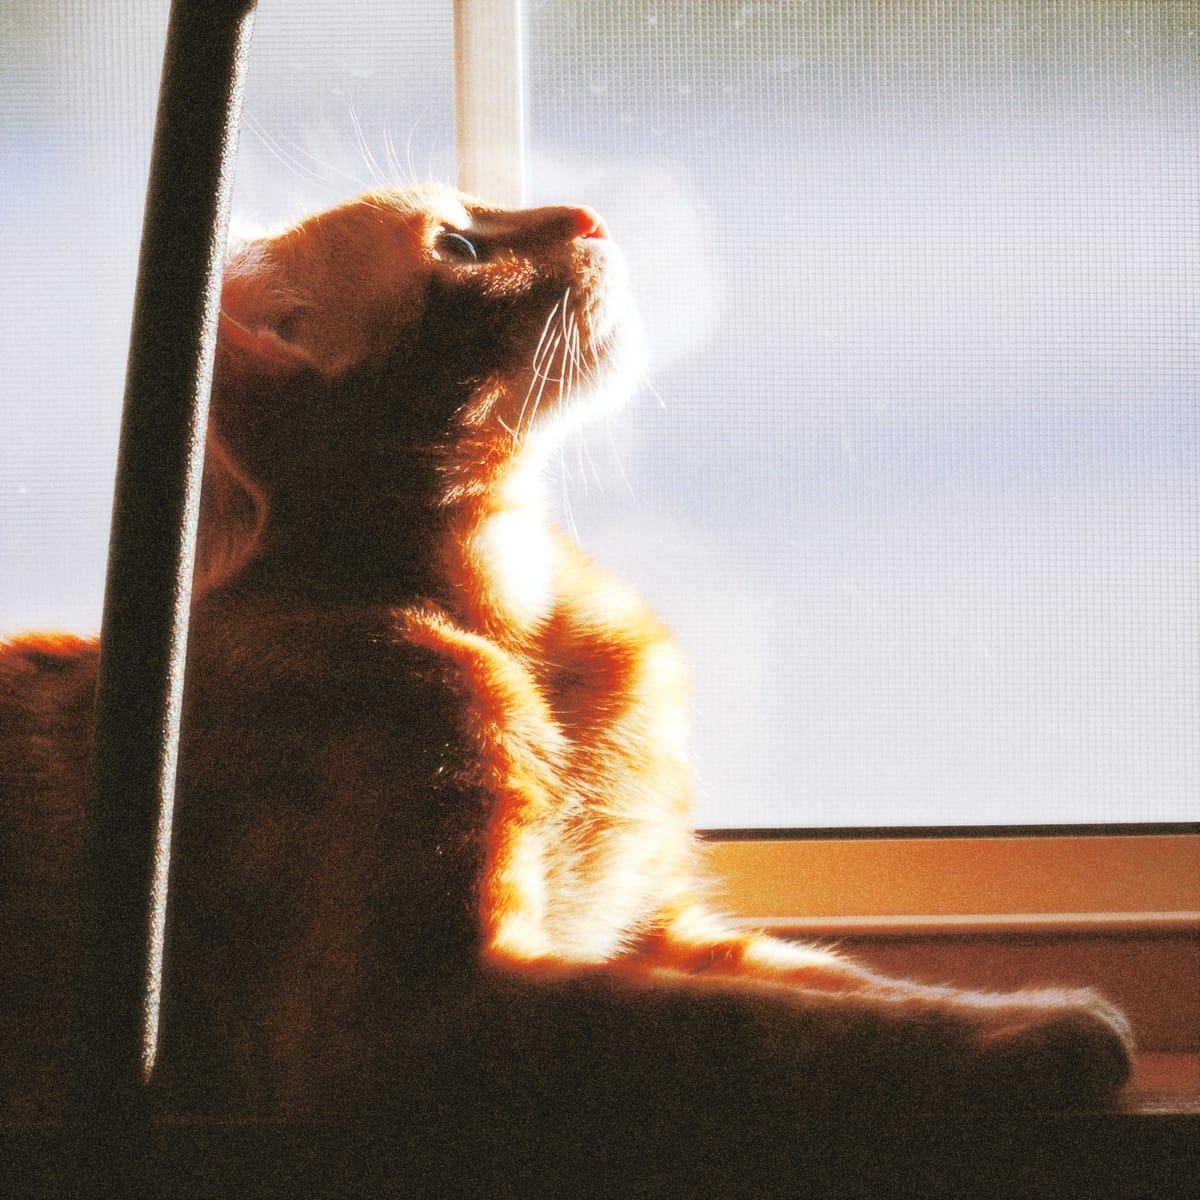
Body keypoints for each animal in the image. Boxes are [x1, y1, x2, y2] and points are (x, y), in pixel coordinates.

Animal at [0, 187, 1128, 1180]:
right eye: (458, 247)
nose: (586, 214)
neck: (520, 618)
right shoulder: (429, 1011)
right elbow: (777, 1030)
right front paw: (1053, 1035)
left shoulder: (652, 929)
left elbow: (837, 982)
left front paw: (1011, 1010)